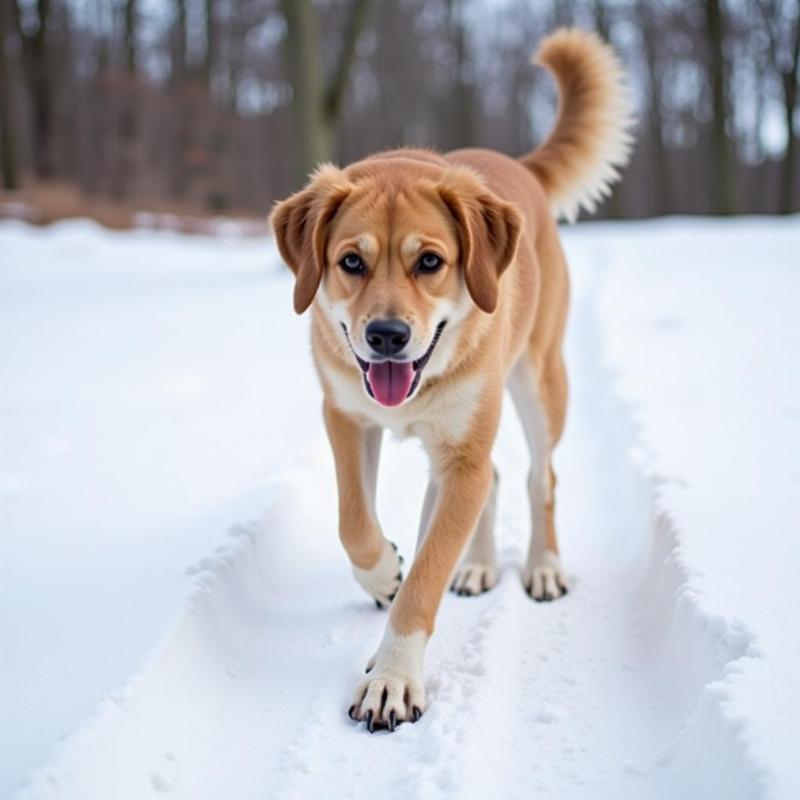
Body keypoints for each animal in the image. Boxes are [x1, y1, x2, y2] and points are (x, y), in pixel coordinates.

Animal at [272, 29, 636, 732]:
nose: (387, 335)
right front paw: (383, 573)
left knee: (539, 476)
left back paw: (543, 567)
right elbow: (354, 522)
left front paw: (392, 678)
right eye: (350, 262)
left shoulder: (460, 452)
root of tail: (518, 167)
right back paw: (477, 567)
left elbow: (425, 577)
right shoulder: (345, 416)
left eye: (430, 262)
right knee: (493, 481)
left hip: (539, 383)